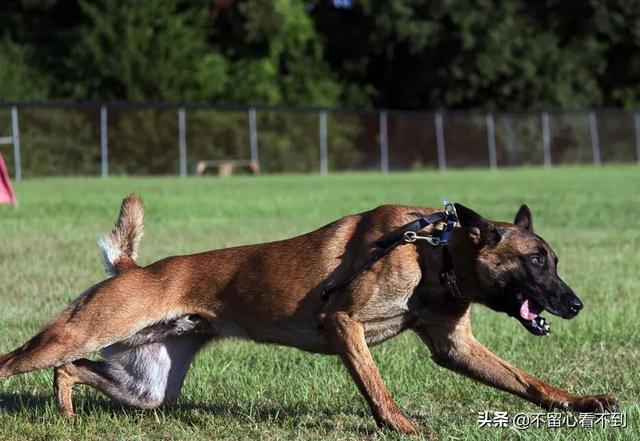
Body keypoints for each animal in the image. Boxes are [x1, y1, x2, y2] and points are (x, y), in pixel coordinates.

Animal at [1, 194, 620, 432]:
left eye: (554, 261)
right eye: (536, 261)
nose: (575, 304)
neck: (433, 250)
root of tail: (134, 268)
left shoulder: (455, 347)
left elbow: (532, 384)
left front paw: (585, 402)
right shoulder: (343, 325)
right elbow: (377, 388)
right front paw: (403, 427)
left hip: (146, 385)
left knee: (68, 371)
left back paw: (66, 414)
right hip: (78, 333)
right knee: (17, 360)